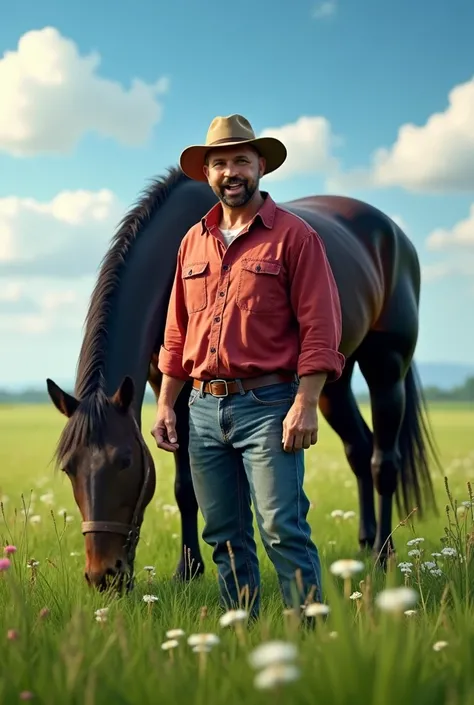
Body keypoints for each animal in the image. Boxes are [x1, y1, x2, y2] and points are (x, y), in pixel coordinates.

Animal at [46, 168, 438, 592]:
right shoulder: (166, 382)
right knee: (359, 448)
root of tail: (394, 235)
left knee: (385, 461)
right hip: (333, 381)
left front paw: (193, 567)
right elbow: (186, 486)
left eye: (125, 461)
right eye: (69, 467)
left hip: (386, 368)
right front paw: (189, 569)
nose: (103, 576)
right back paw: (365, 542)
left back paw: (384, 554)